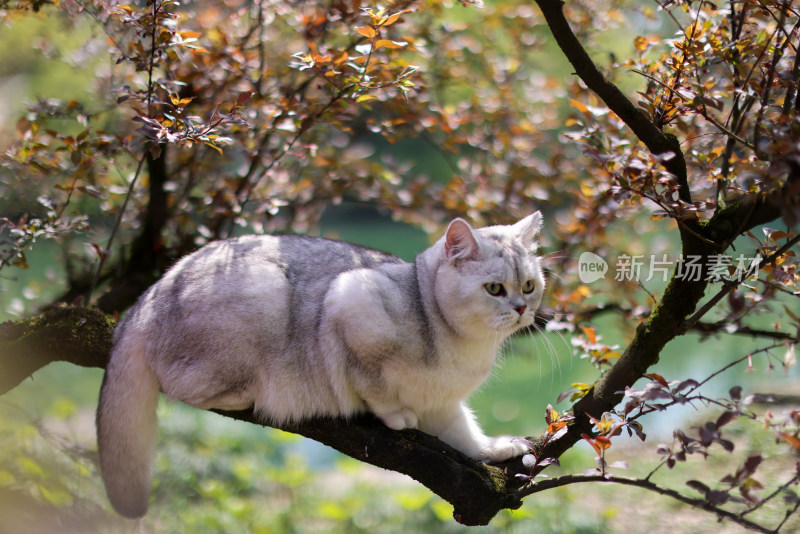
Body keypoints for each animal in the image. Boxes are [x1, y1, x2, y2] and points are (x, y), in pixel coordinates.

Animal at [94, 214, 544, 520]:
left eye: (529, 286)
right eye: (494, 288)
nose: (522, 309)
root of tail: (149, 294)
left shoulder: (444, 403)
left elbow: (464, 434)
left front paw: (494, 448)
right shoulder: (350, 304)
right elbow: (375, 386)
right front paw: (396, 415)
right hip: (262, 293)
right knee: (178, 386)